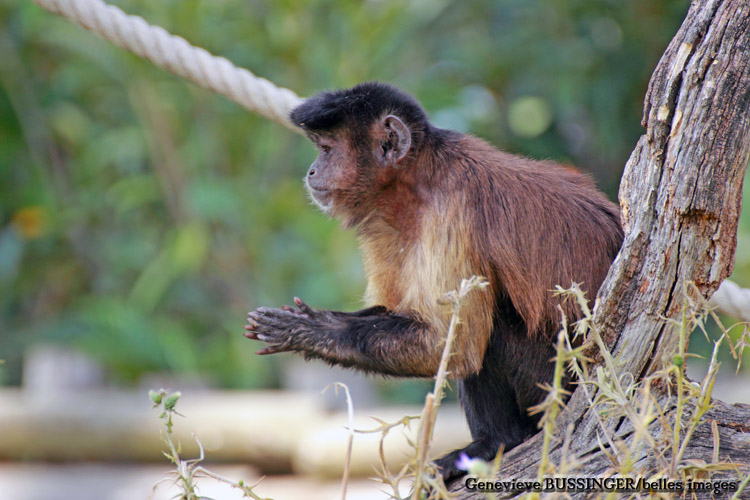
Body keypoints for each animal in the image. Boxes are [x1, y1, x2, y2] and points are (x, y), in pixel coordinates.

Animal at [244, 82, 624, 480]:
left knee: (490, 328)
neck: (418, 180)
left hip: (556, 385)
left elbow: (451, 342)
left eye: (327, 149)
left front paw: (309, 329)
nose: (312, 170)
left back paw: (498, 442)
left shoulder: (452, 212)